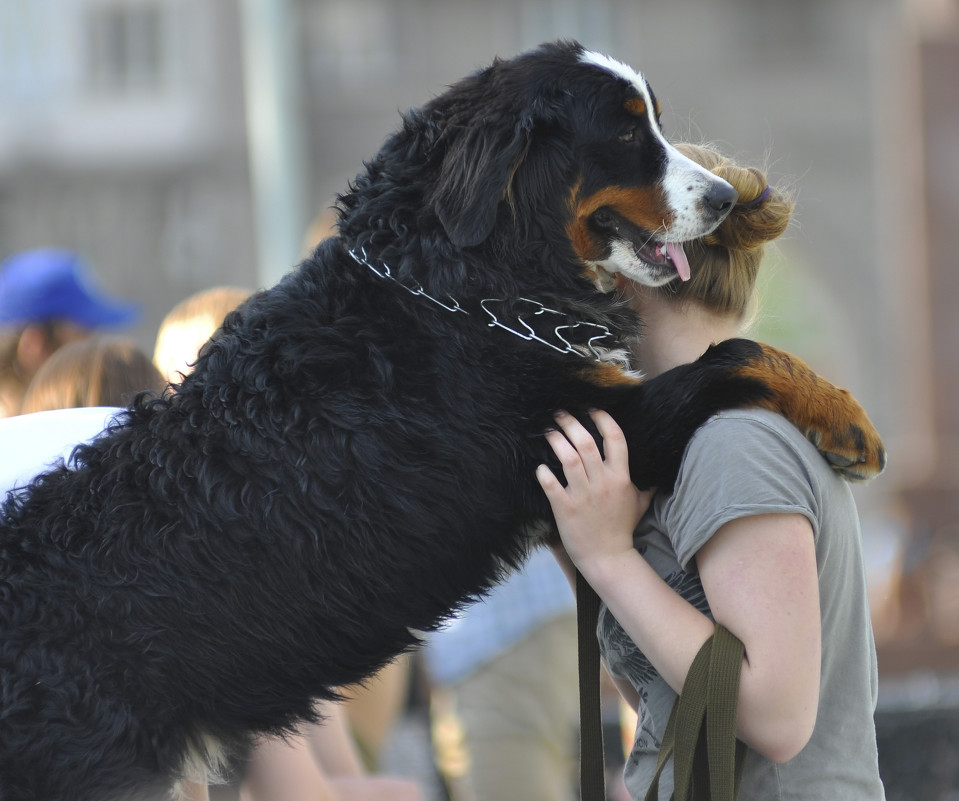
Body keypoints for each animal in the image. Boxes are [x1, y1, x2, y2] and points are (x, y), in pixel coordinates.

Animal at [1, 42, 884, 800]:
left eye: (656, 121)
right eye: (627, 129)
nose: (727, 198)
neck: (455, 283)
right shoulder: (597, 422)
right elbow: (737, 353)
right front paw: (848, 421)